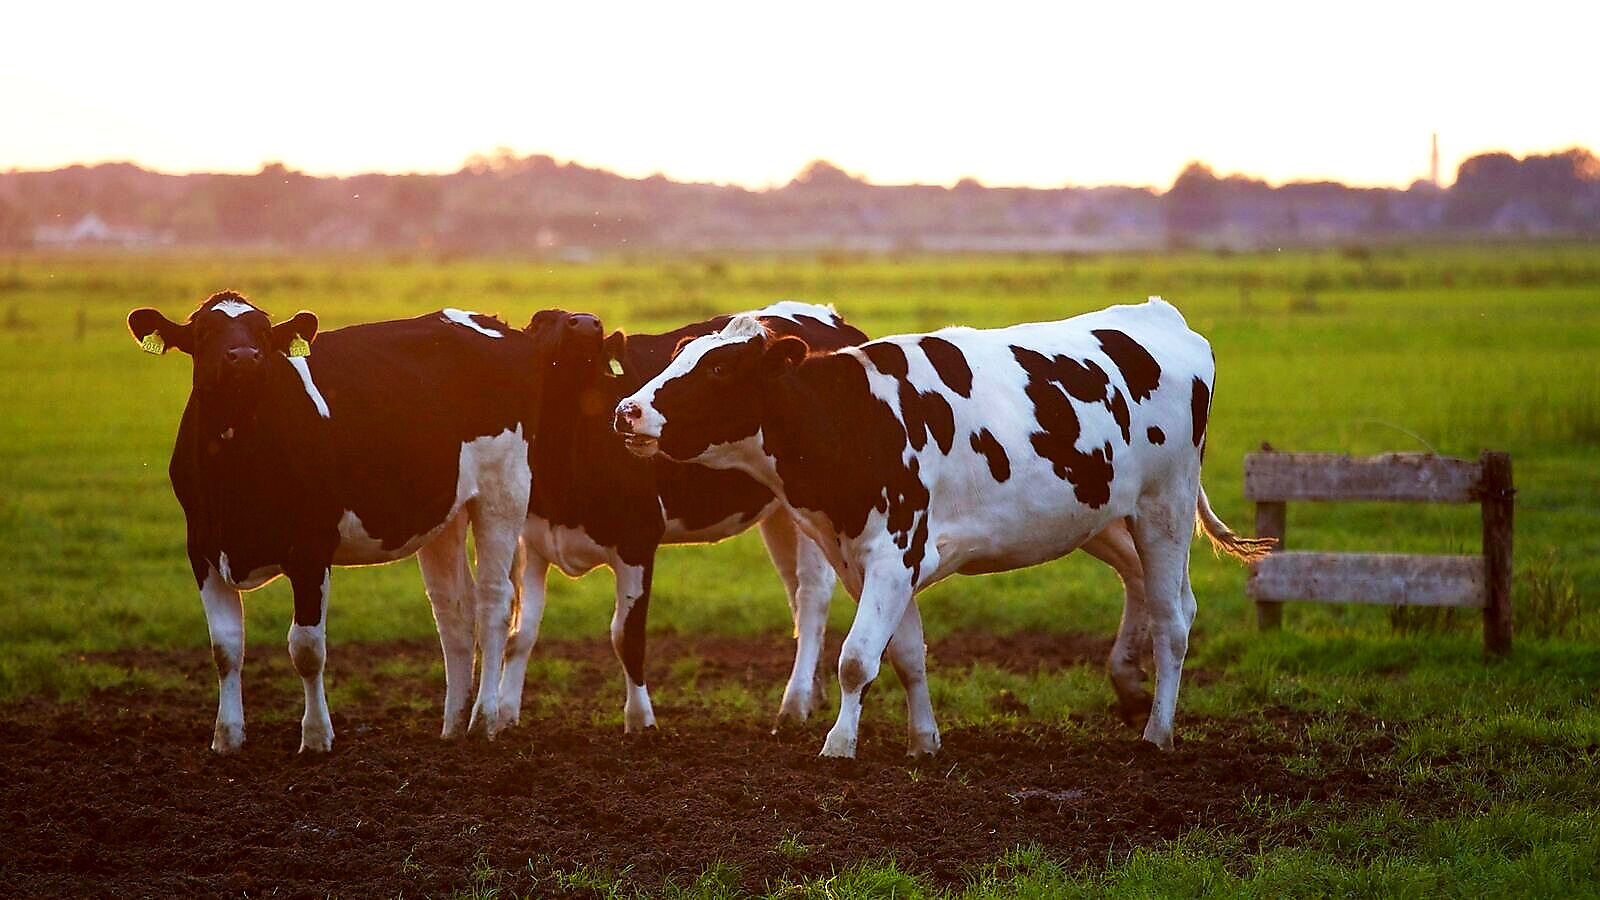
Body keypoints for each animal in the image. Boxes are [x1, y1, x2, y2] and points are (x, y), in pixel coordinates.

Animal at [128, 292, 539, 753]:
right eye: (205, 332)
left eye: (263, 333)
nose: (245, 357)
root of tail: (491, 321)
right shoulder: (202, 549)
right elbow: (225, 648)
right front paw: (227, 738)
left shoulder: (310, 550)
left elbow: (306, 648)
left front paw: (316, 738)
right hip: (444, 513)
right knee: (454, 610)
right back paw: (452, 725)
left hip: (503, 491)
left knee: (494, 602)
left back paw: (483, 720)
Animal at [499, 302, 868, 732]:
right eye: (541, 321)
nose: (588, 323)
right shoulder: (533, 541)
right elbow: (520, 634)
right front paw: (502, 717)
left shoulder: (637, 538)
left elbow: (626, 636)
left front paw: (641, 722)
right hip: (781, 514)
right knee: (795, 593)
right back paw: (813, 694)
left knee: (811, 597)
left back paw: (793, 705)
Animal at [613, 297, 1273, 758]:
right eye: (677, 356)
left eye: (719, 369)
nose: (626, 410)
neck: (854, 419)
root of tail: (1162, 317)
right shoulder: (872, 561)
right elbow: (906, 655)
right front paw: (923, 741)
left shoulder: (893, 551)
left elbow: (856, 658)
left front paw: (838, 745)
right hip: (1104, 515)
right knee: (1154, 592)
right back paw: (1130, 686)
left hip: (1165, 507)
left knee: (1173, 621)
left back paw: (1158, 732)